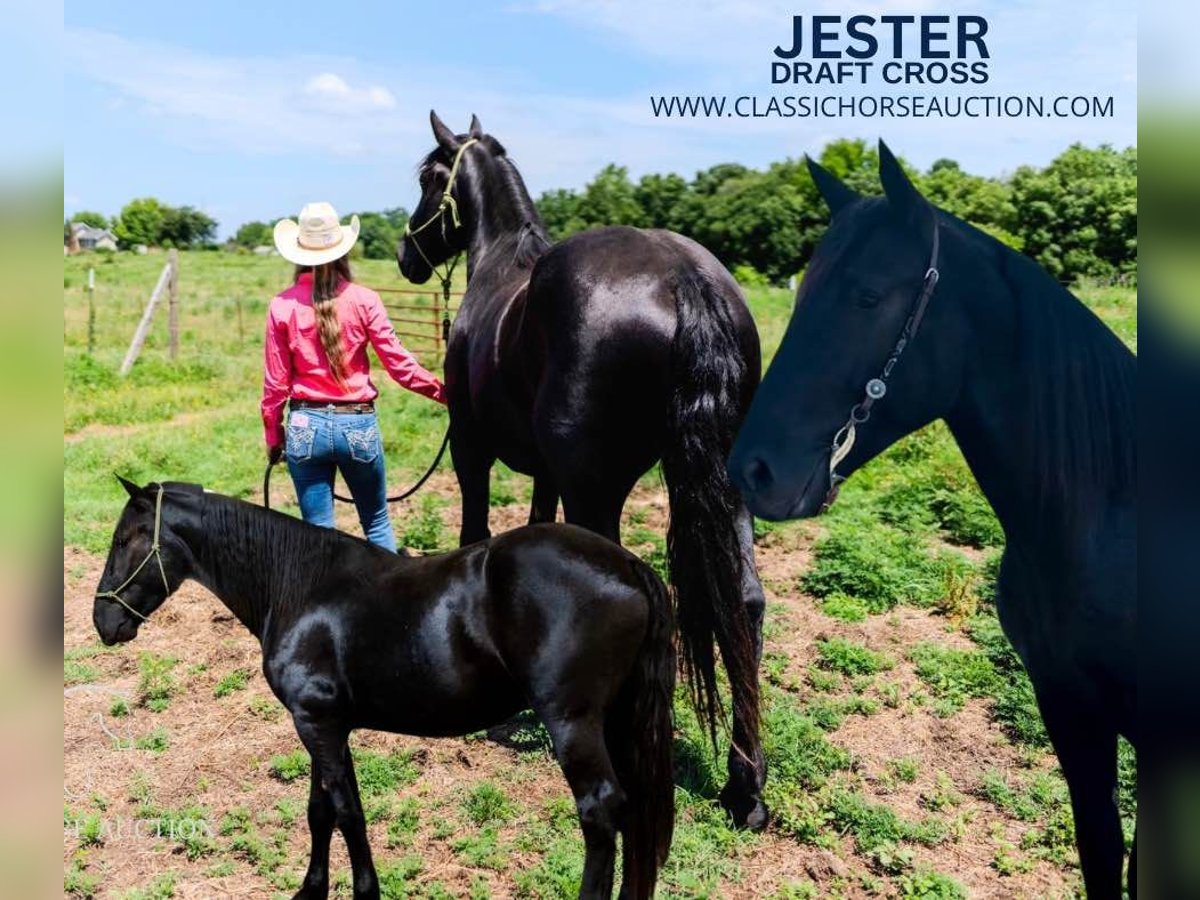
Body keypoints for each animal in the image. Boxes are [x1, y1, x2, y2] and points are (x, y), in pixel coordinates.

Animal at [396, 112, 768, 830]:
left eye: (429, 177)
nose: (406, 254)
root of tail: (684, 277)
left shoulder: (470, 450)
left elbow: (475, 531)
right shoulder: (548, 473)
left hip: (598, 494)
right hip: (723, 485)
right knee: (745, 602)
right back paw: (746, 789)